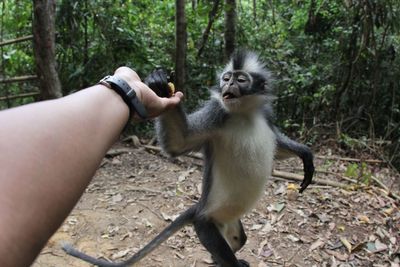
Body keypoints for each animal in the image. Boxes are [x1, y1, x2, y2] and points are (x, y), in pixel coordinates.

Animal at [62, 50, 314, 267]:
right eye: (226, 78)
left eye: (241, 80)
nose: (228, 84)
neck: (243, 114)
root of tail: (199, 208)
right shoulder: (216, 114)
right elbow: (178, 143)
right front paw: (159, 86)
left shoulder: (265, 115)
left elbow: (278, 148)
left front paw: (305, 154)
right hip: (206, 225)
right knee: (222, 250)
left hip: (228, 223)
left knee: (239, 239)